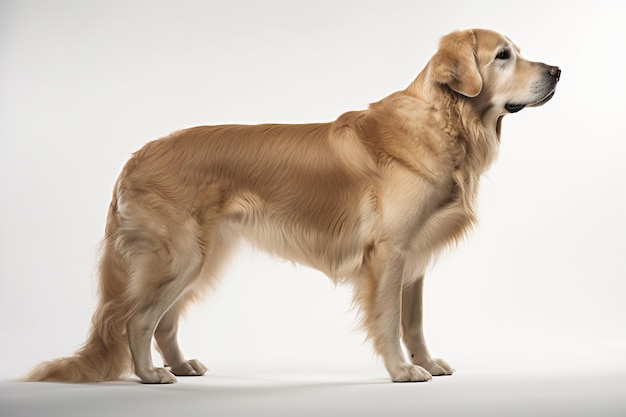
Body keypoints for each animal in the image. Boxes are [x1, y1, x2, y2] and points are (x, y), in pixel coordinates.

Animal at [26, 27, 560, 382]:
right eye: (503, 55)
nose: (557, 70)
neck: (446, 123)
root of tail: (134, 158)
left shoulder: (414, 256)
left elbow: (415, 321)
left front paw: (426, 362)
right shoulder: (389, 253)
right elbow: (390, 320)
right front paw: (402, 371)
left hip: (199, 258)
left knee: (165, 321)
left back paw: (180, 365)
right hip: (178, 256)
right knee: (138, 319)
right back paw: (150, 375)